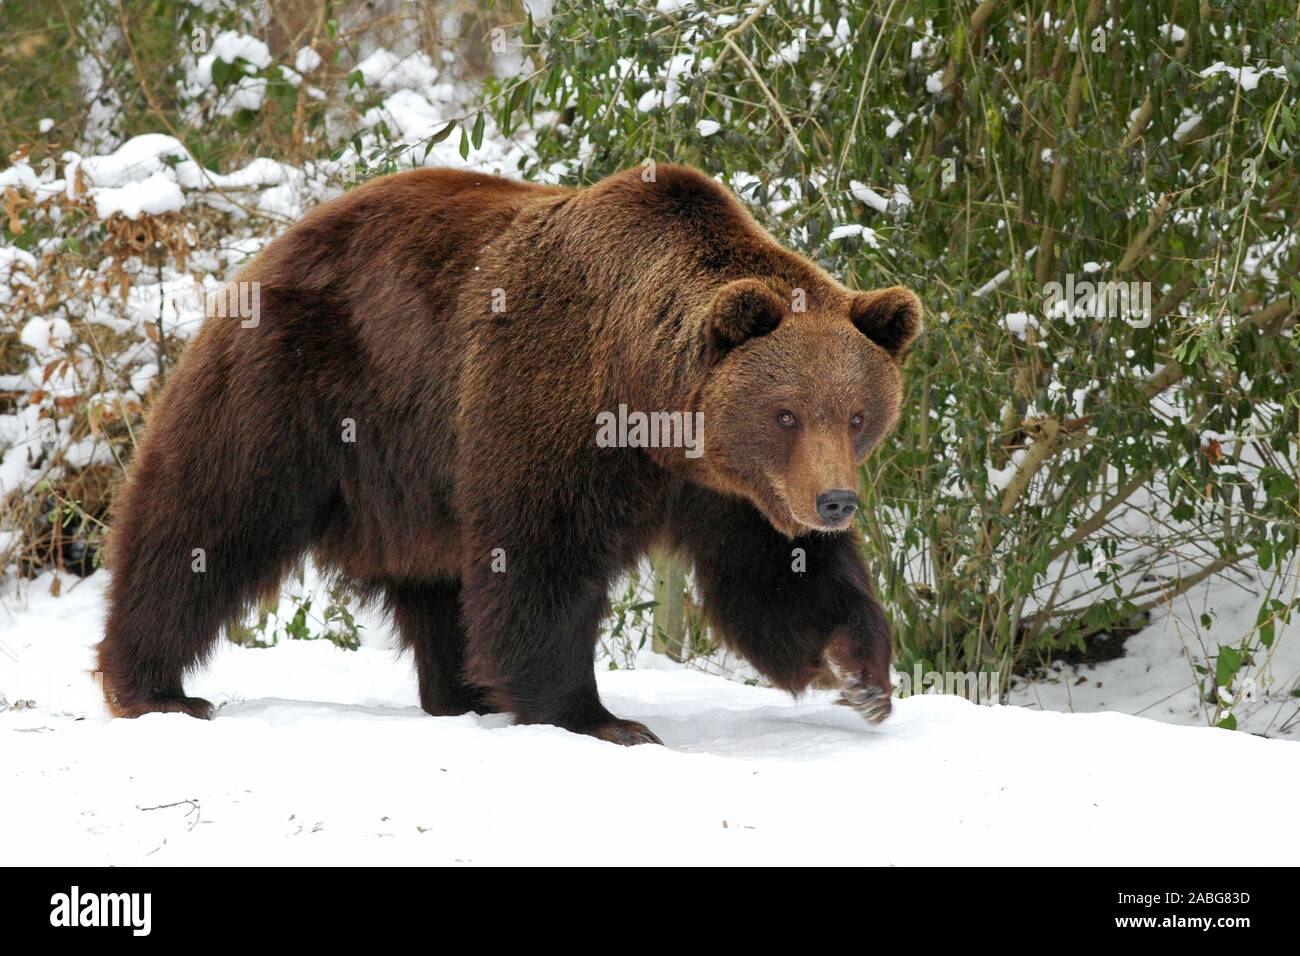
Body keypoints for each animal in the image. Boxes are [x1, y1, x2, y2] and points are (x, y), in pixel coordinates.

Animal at [96, 162, 920, 749]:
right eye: (786, 413)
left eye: (857, 414)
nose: (835, 502)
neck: (651, 411)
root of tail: (283, 240)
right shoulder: (548, 404)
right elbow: (540, 555)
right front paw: (600, 718)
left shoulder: (726, 486)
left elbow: (772, 573)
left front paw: (861, 671)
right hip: (297, 389)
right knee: (205, 519)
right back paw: (155, 688)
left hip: (411, 478)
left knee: (434, 585)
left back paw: (461, 692)